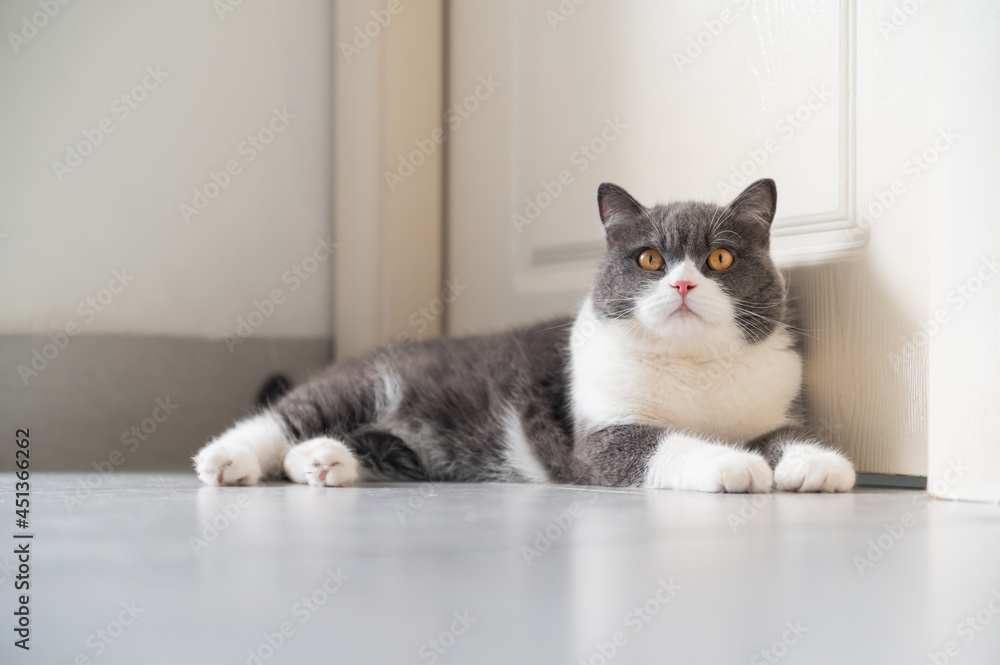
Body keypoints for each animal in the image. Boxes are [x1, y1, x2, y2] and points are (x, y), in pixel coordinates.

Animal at [197, 179, 860, 490]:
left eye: (720, 258)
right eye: (649, 259)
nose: (682, 285)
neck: (694, 364)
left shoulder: (770, 401)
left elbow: (780, 436)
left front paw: (815, 464)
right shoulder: (602, 439)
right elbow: (664, 445)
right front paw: (733, 465)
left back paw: (321, 461)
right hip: (370, 383)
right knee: (287, 416)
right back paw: (229, 458)